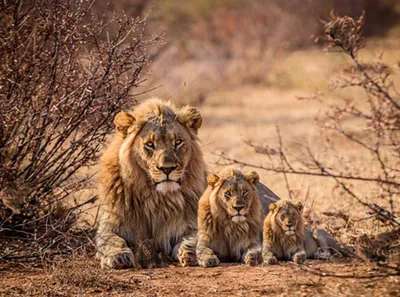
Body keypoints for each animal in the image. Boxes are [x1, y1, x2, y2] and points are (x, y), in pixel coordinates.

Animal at [94, 97, 206, 268]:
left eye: (178, 142)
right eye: (150, 144)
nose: (167, 168)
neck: (156, 197)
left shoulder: (191, 222)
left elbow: (196, 236)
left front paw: (189, 252)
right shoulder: (110, 223)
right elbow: (110, 240)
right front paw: (118, 256)